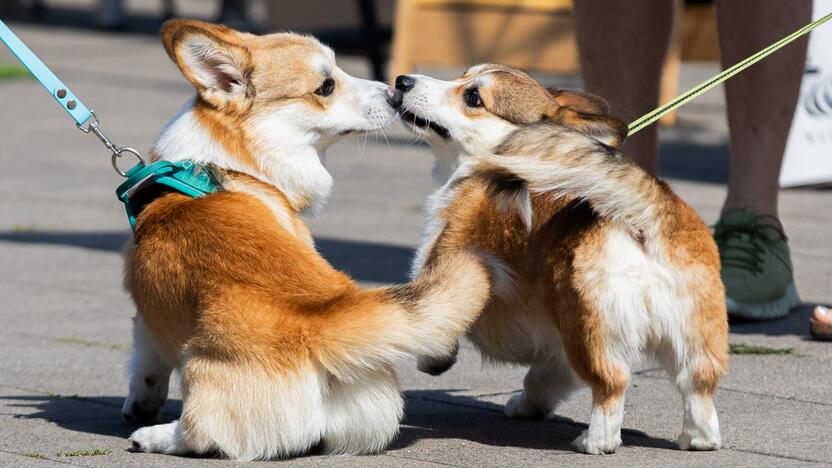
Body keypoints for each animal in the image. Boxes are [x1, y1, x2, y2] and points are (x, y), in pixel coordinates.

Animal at [119, 20, 504, 458]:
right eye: (325, 86)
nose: (395, 91)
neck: (231, 161)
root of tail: (319, 318)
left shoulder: (145, 315)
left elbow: (147, 362)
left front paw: (140, 405)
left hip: (200, 367)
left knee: (201, 434)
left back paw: (153, 434)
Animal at [394, 66, 724, 454]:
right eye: (461, 76)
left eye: (473, 97)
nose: (402, 81)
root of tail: (650, 211)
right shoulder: (554, 344)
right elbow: (541, 378)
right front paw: (527, 406)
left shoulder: (440, 256)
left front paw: (435, 361)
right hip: (693, 336)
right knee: (698, 384)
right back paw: (698, 439)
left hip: (589, 330)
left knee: (611, 385)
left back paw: (595, 441)